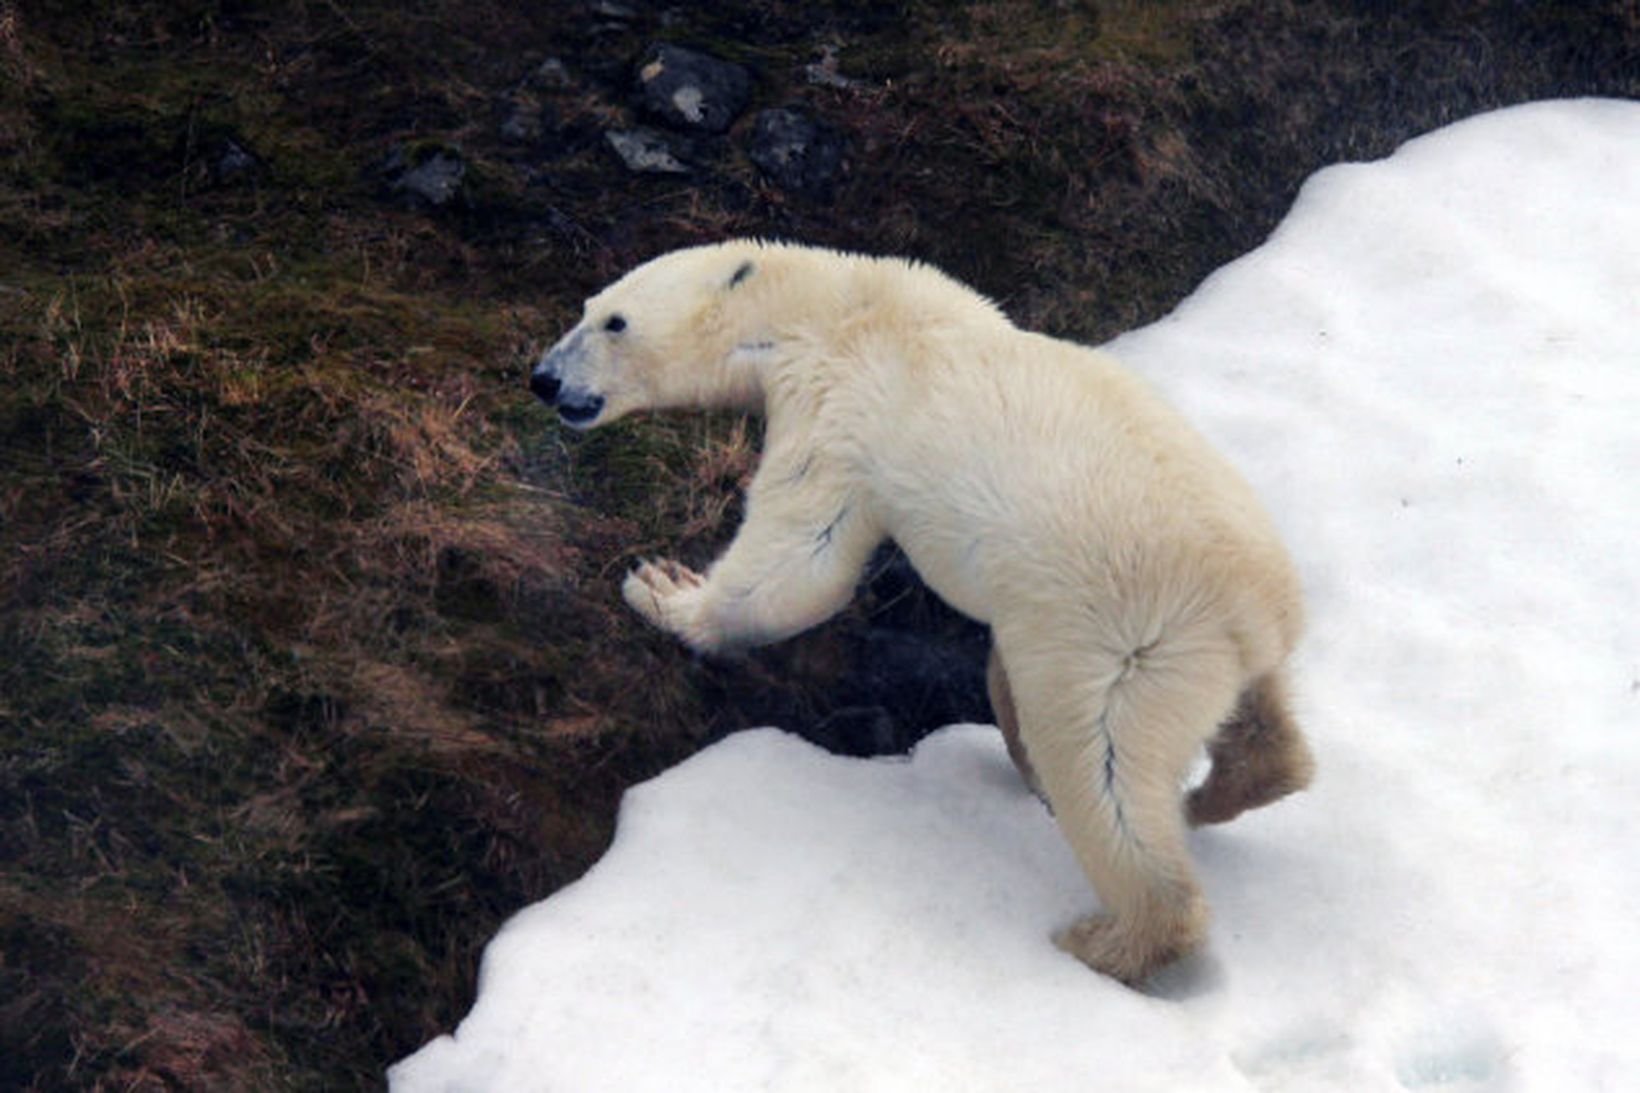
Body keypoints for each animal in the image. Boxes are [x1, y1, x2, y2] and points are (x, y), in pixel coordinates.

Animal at [531, 242, 1312, 984]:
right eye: (587, 306)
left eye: (613, 320)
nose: (543, 378)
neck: (835, 307)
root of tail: (1256, 606)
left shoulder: (838, 405)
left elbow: (801, 560)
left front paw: (662, 587)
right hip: (1214, 650)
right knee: (1260, 722)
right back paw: (1220, 788)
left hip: (1129, 640)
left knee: (1103, 771)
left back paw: (1110, 937)